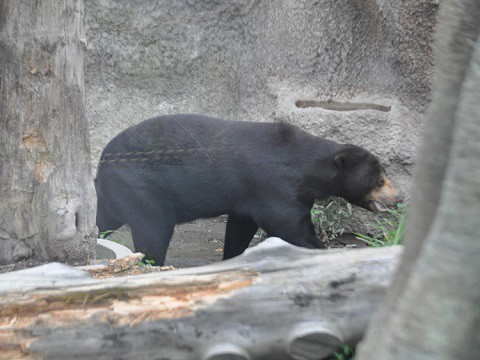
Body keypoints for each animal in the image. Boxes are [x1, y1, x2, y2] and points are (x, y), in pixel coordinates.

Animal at [95, 114, 404, 264]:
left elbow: (239, 228)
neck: (307, 169)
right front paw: (321, 250)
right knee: (153, 231)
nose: (399, 197)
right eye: (379, 180)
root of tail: (103, 158)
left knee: (105, 217)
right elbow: (291, 228)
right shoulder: (274, 187)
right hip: (142, 188)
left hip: (118, 192)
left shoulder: (248, 196)